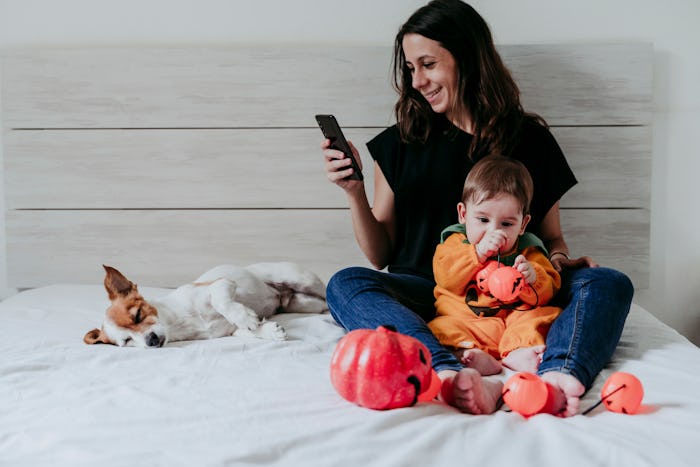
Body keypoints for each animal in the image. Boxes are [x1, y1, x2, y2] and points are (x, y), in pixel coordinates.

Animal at [83, 264, 330, 348]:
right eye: (127, 341)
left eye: (137, 315)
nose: (151, 341)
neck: (179, 323)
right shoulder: (229, 331)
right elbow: (247, 332)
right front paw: (268, 330)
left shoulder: (222, 284)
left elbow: (223, 303)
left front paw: (245, 316)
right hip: (304, 303)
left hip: (303, 281)